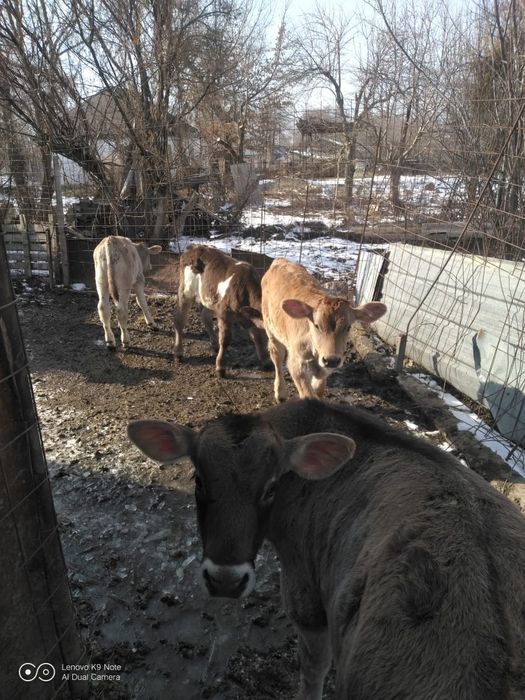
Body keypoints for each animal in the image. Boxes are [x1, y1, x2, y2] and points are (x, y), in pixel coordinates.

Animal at [174, 244, 268, 377]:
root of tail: (194, 247)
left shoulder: (250, 317)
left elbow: (257, 337)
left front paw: (265, 361)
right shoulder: (224, 313)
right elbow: (225, 339)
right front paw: (220, 367)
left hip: (209, 297)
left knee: (205, 317)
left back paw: (215, 345)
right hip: (186, 290)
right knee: (179, 319)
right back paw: (178, 353)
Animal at [259, 258, 387, 402]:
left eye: (348, 327)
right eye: (316, 325)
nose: (331, 360)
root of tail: (280, 260)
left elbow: (319, 389)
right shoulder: (297, 365)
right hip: (271, 329)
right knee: (277, 355)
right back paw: (280, 392)